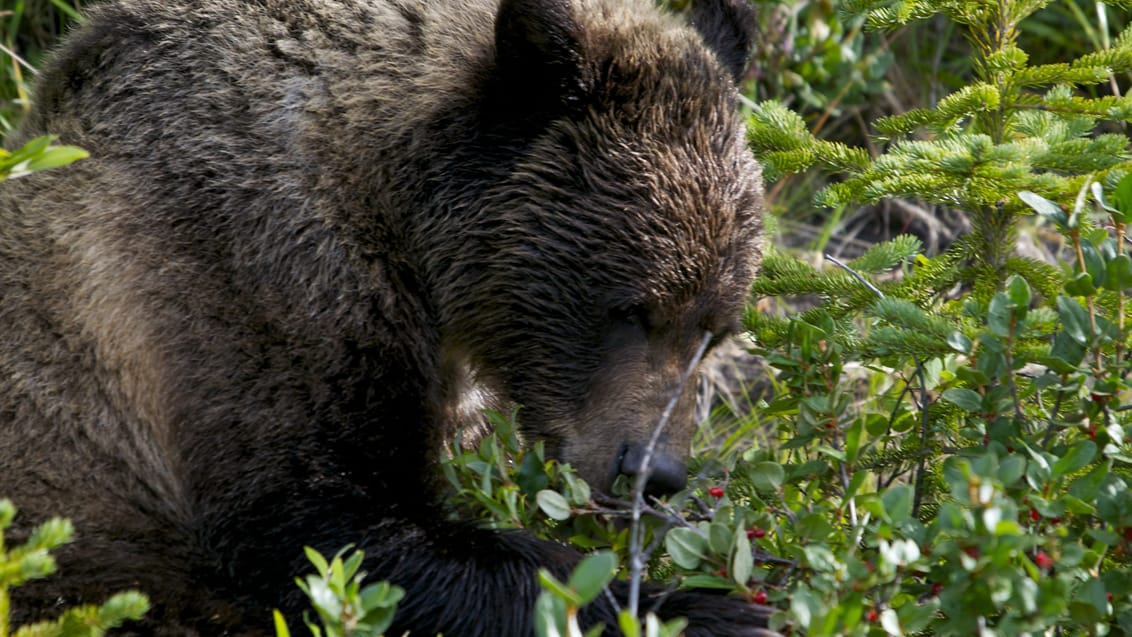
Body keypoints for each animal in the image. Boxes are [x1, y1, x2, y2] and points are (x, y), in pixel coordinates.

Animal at [0, 0, 769, 633]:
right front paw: (707, 610)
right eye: (630, 308)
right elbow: (329, 524)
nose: (652, 469)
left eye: (715, 329)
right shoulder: (253, 276)